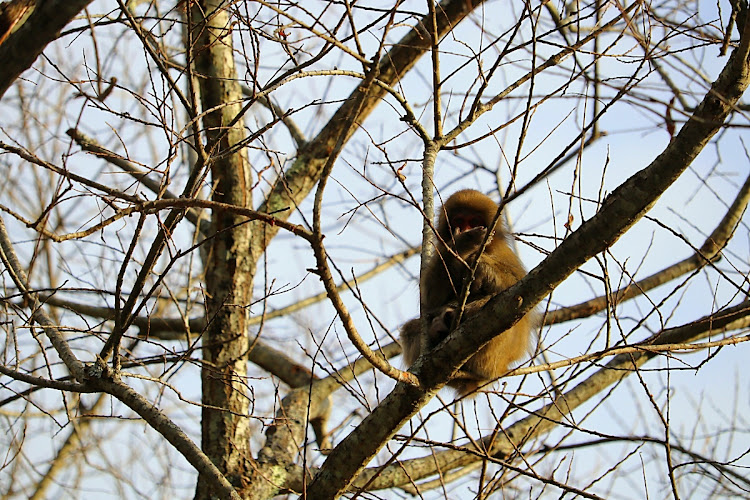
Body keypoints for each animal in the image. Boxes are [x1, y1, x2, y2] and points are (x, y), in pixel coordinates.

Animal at [406, 189, 536, 396]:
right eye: (459, 221)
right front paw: (462, 243)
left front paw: (484, 268)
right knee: (410, 329)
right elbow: (431, 299)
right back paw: (438, 328)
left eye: (474, 221)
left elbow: (522, 288)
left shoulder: (503, 252)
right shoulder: (441, 249)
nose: (466, 230)